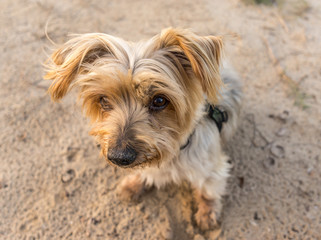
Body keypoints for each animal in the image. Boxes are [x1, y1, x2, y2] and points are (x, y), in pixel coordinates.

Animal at [43, 28, 241, 231]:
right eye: (103, 100)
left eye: (159, 100)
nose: (119, 157)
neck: (173, 152)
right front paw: (133, 184)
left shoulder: (211, 168)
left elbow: (207, 191)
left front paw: (207, 214)